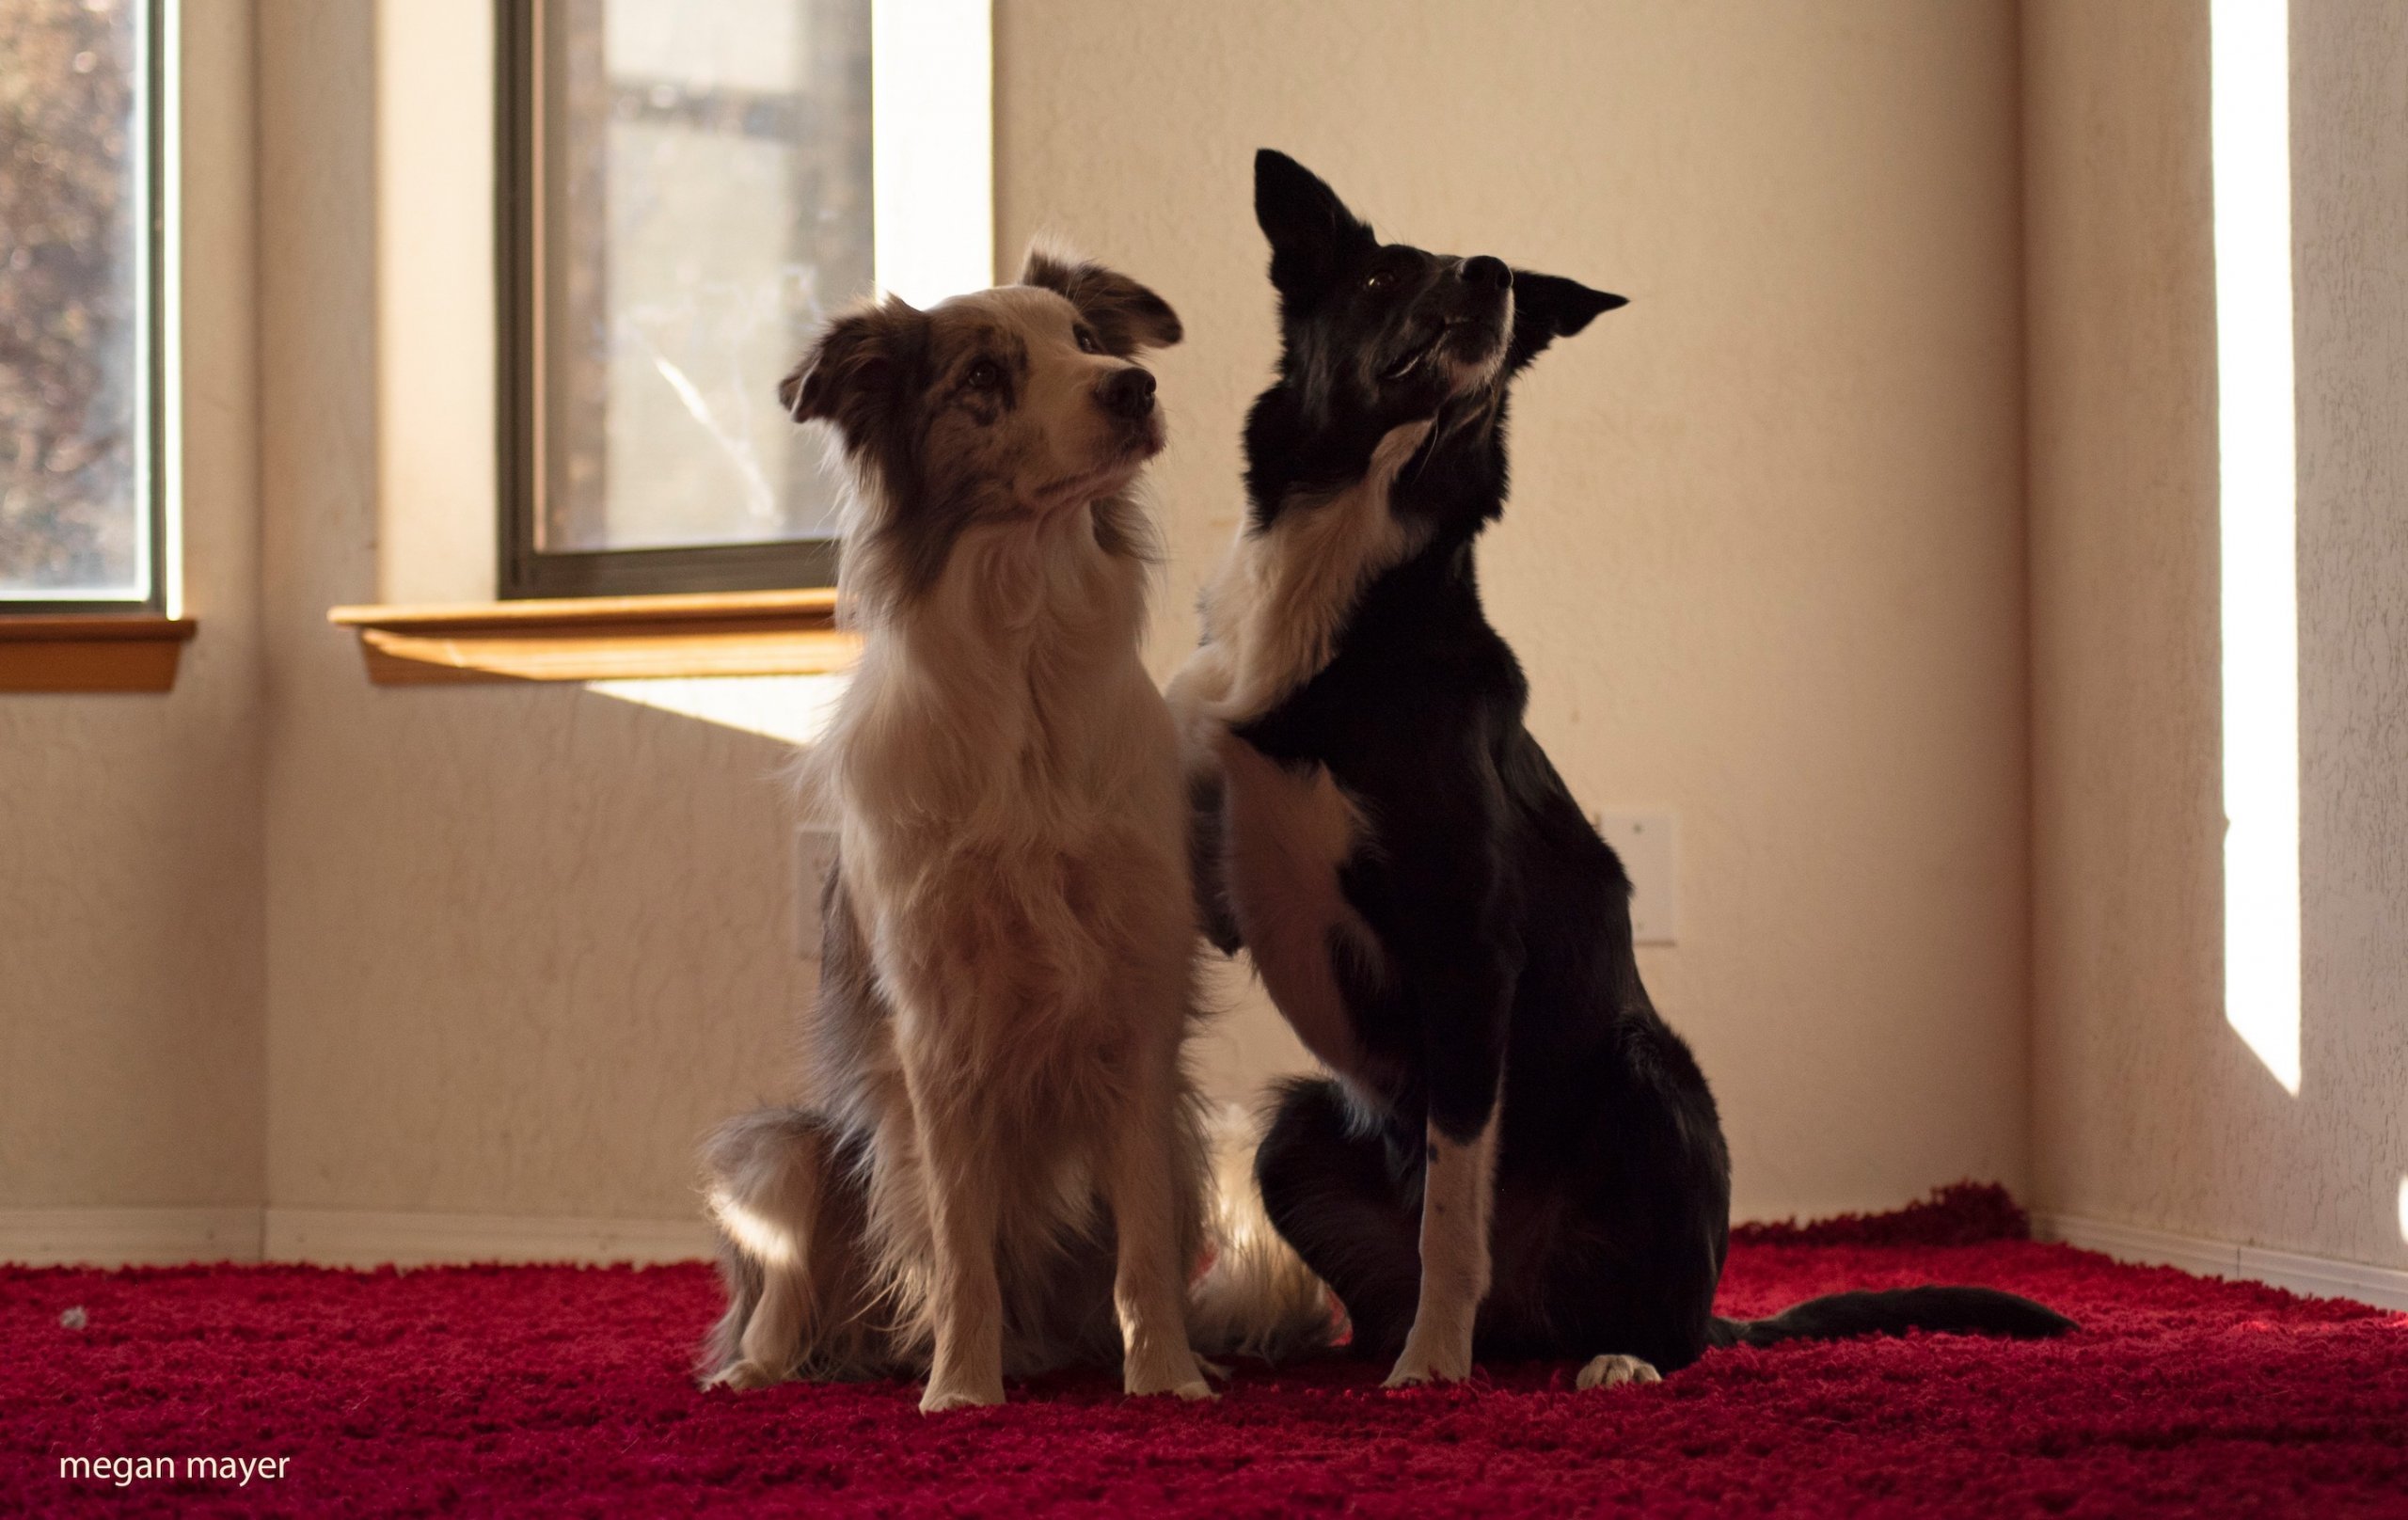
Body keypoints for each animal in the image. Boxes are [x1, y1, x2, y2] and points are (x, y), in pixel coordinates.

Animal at [703, 249, 1223, 1416]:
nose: (1133, 387)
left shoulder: (1137, 1011)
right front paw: (960, 1393)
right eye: (985, 374)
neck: (1026, 660)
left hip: (1187, 1136)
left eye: (1086, 338)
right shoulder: (933, 1027)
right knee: (785, 1288)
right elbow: (958, 1248)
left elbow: (1143, 1249)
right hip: (784, 1146)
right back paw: (759, 1370)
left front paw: (1167, 1378)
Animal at [1170, 153, 2070, 1387]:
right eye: (1380, 274)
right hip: (1299, 1130)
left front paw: (1431, 1375)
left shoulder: (1469, 946)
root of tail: (1531, 1324)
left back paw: (1594, 1360)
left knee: (1656, 1322)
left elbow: (1454, 1206)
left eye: (1498, 287)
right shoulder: (1218, 865)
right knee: (1388, 1285)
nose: (1494, 274)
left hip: (1650, 1078)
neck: (1349, 572)